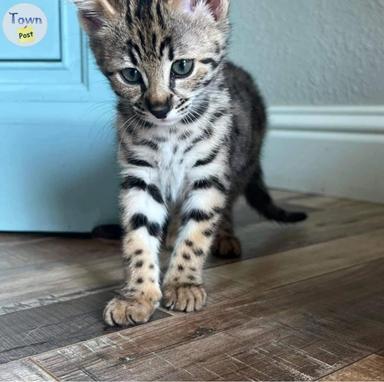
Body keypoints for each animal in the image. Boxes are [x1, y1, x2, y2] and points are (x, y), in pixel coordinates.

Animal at [73, 0, 306, 326]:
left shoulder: (210, 175)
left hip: (239, 164)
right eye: (130, 75)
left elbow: (197, 232)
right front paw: (137, 295)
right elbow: (138, 235)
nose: (159, 108)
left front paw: (183, 283)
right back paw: (171, 234)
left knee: (227, 206)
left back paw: (224, 237)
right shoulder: (141, 175)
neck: (171, 134)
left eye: (182, 67)